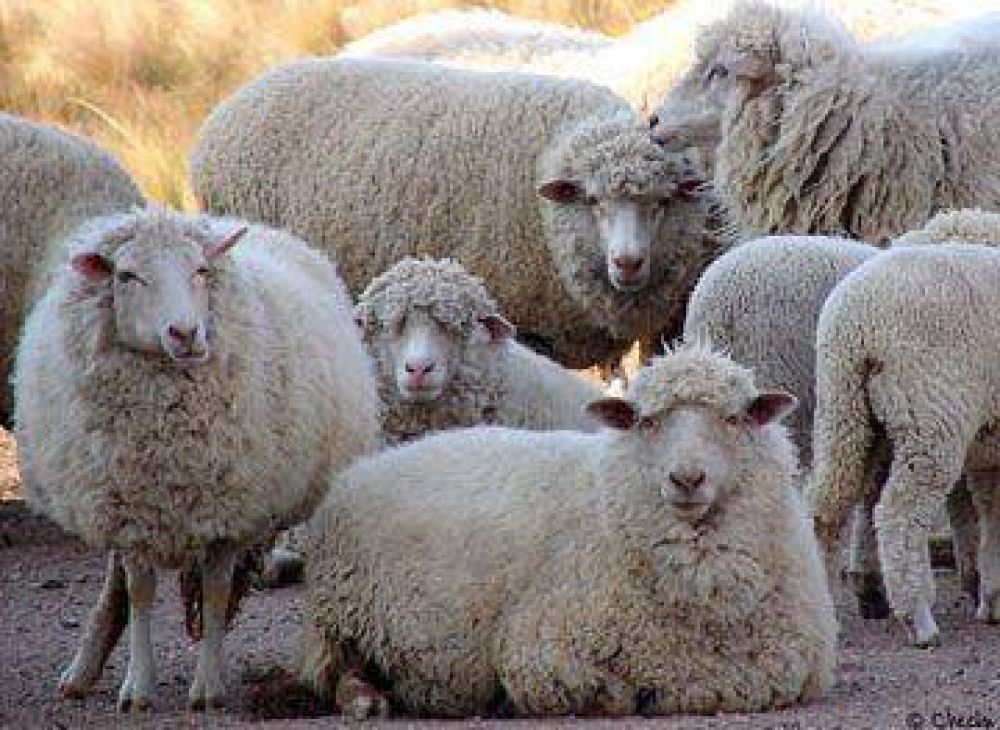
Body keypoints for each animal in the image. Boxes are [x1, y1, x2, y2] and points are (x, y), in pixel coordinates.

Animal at [14, 208, 381, 711]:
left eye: (201, 271)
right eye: (126, 276)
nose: (186, 333)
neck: (171, 443)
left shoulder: (227, 514)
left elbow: (215, 590)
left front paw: (207, 685)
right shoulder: (132, 516)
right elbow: (140, 594)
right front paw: (137, 687)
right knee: (116, 589)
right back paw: (81, 671)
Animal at [191, 57, 728, 369]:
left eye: (662, 202)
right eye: (592, 202)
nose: (629, 263)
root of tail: (226, 108)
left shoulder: (656, 327)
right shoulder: (524, 324)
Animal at [300, 341, 836, 717]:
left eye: (733, 417)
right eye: (645, 422)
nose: (686, 479)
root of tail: (366, 465)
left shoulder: (784, 670)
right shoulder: (542, 655)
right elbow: (610, 695)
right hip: (342, 616)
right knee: (335, 674)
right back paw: (367, 700)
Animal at [809, 228, 1000, 646]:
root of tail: (858, 323)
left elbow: (992, 514)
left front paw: (993, 600)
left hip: (844, 411)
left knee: (825, 505)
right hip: (930, 416)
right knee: (898, 513)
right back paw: (919, 618)